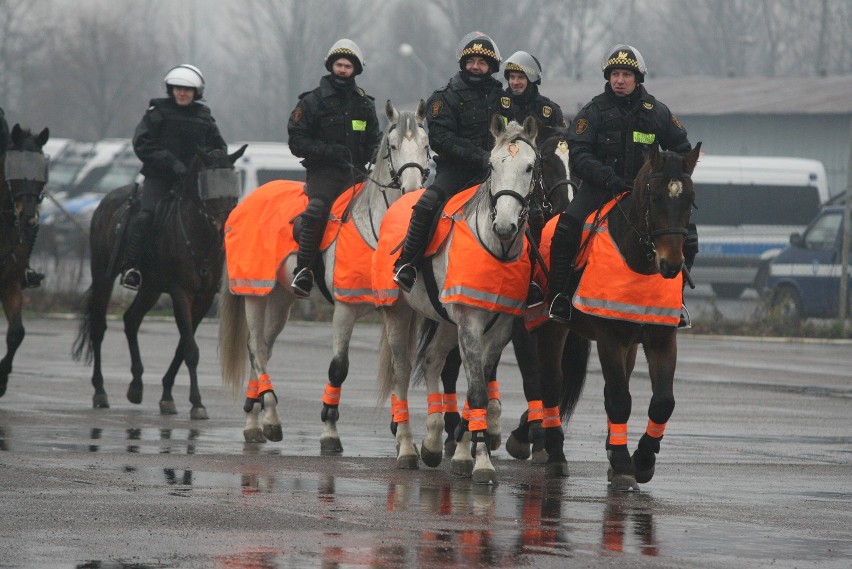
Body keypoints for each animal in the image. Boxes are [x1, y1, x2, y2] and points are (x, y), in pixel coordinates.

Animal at [73, 144, 246, 414]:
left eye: (231, 180)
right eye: (207, 184)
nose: (225, 225)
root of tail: (107, 200)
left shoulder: (205, 298)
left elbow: (183, 346)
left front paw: (167, 395)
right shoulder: (181, 292)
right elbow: (190, 349)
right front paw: (197, 402)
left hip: (151, 288)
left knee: (131, 320)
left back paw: (136, 386)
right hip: (102, 275)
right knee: (98, 327)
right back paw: (100, 391)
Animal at [221, 101, 430, 448]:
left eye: (427, 146)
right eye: (393, 146)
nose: (412, 191)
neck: (376, 232)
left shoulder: (400, 310)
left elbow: (398, 366)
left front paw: (399, 429)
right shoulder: (345, 308)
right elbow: (338, 368)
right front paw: (330, 429)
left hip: (281, 299)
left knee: (263, 346)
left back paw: (254, 420)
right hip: (256, 292)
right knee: (255, 350)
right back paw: (271, 417)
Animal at [374, 116, 536, 484]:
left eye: (529, 167)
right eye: (491, 165)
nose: (505, 225)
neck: (497, 249)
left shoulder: (499, 327)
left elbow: (479, 388)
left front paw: (465, 453)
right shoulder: (471, 322)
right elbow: (476, 389)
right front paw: (482, 462)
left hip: (447, 322)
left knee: (433, 360)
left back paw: (433, 443)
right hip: (397, 312)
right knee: (402, 372)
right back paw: (407, 449)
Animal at [532, 141, 704, 488]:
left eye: (690, 201)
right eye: (655, 198)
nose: (671, 265)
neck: (640, 262)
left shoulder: (661, 339)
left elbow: (662, 402)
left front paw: (643, 460)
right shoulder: (609, 338)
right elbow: (620, 398)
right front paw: (626, 464)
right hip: (552, 327)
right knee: (552, 383)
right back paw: (556, 454)